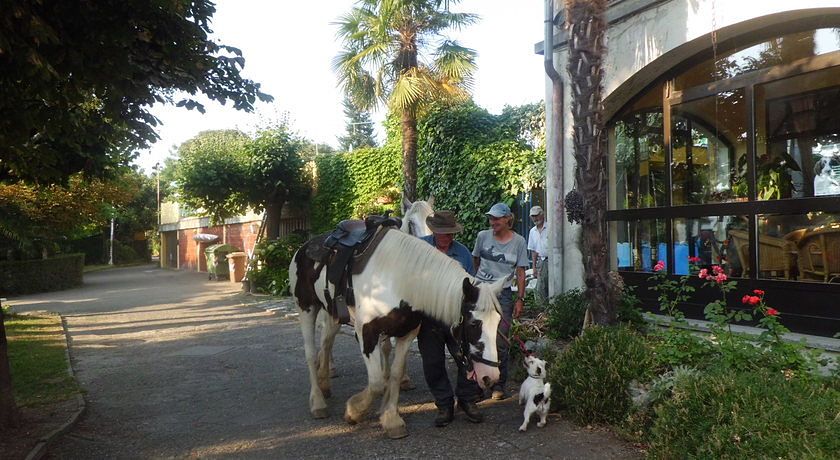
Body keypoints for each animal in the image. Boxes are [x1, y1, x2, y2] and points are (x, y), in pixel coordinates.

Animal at [290, 230, 498, 438]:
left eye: (497, 323)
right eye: (473, 323)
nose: (491, 377)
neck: (397, 278)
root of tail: (304, 247)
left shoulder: (407, 334)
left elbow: (396, 374)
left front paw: (391, 418)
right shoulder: (367, 334)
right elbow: (376, 383)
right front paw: (354, 411)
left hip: (332, 314)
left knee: (326, 343)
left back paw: (324, 384)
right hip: (306, 309)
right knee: (310, 354)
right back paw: (318, 403)